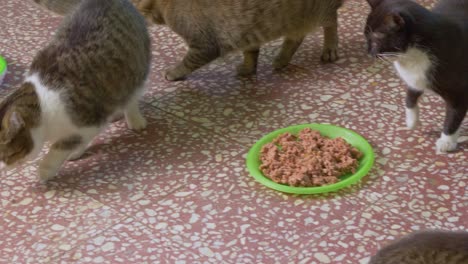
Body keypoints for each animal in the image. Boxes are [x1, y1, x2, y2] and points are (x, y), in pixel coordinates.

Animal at [0, 0, 150, 182]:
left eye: (4, 156)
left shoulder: (89, 120)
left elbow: (60, 147)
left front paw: (46, 169)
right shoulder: (89, 124)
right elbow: (78, 139)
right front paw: (76, 151)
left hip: (136, 68)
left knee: (132, 96)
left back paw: (134, 119)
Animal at [135, 0, 344, 81]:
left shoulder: (204, 44)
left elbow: (188, 62)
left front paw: (174, 72)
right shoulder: (247, 31)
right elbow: (251, 53)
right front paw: (248, 69)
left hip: (318, 11)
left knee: (332, 22)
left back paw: (330, 48)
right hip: (292, 19)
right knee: (296, 36)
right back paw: (282, 59)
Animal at [366, 0, 468, 153]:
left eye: (375, 40)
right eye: (365, 36)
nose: (367, 52)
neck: (410, 56)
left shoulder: (459, 91)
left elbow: (453, 115)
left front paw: (446, 142)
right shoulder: (415, 78)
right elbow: (410, 97)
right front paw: (411, 121)